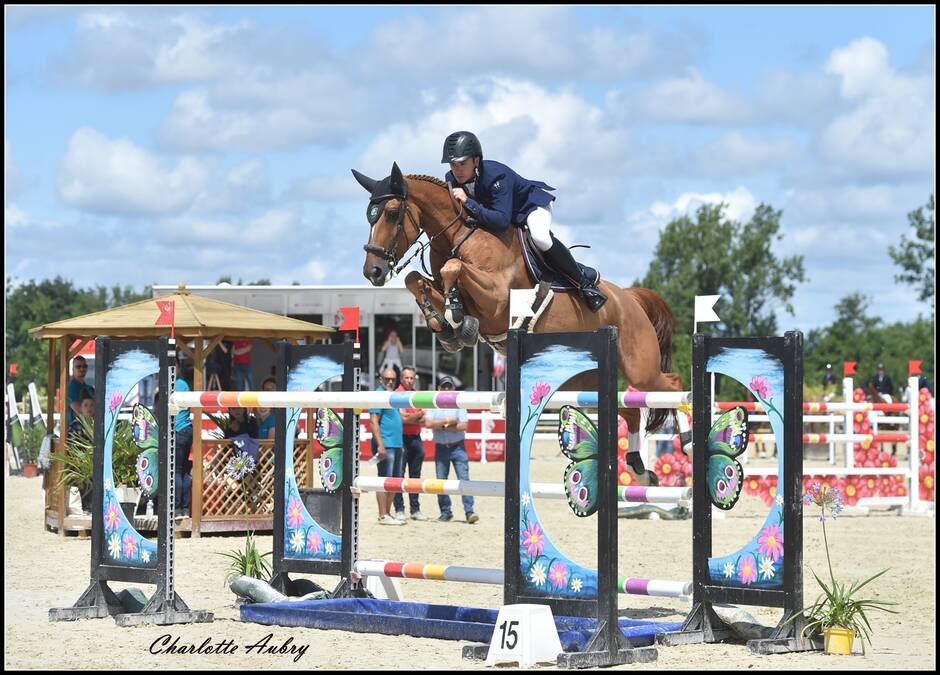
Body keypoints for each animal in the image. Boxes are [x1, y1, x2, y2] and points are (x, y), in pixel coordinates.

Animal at [350, 162, 684, 476]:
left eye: (392, 213)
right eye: (369, 216)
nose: (373, 271)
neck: (459, 236)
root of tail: (631, 298)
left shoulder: (497, 299)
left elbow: (453, 268)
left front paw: (455, 318)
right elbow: (416, 279)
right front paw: (445, 325)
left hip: (640, 368)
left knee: (672, 384)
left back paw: (686, 440)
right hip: (587, 380)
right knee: (629, 409)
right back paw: (638, 466)